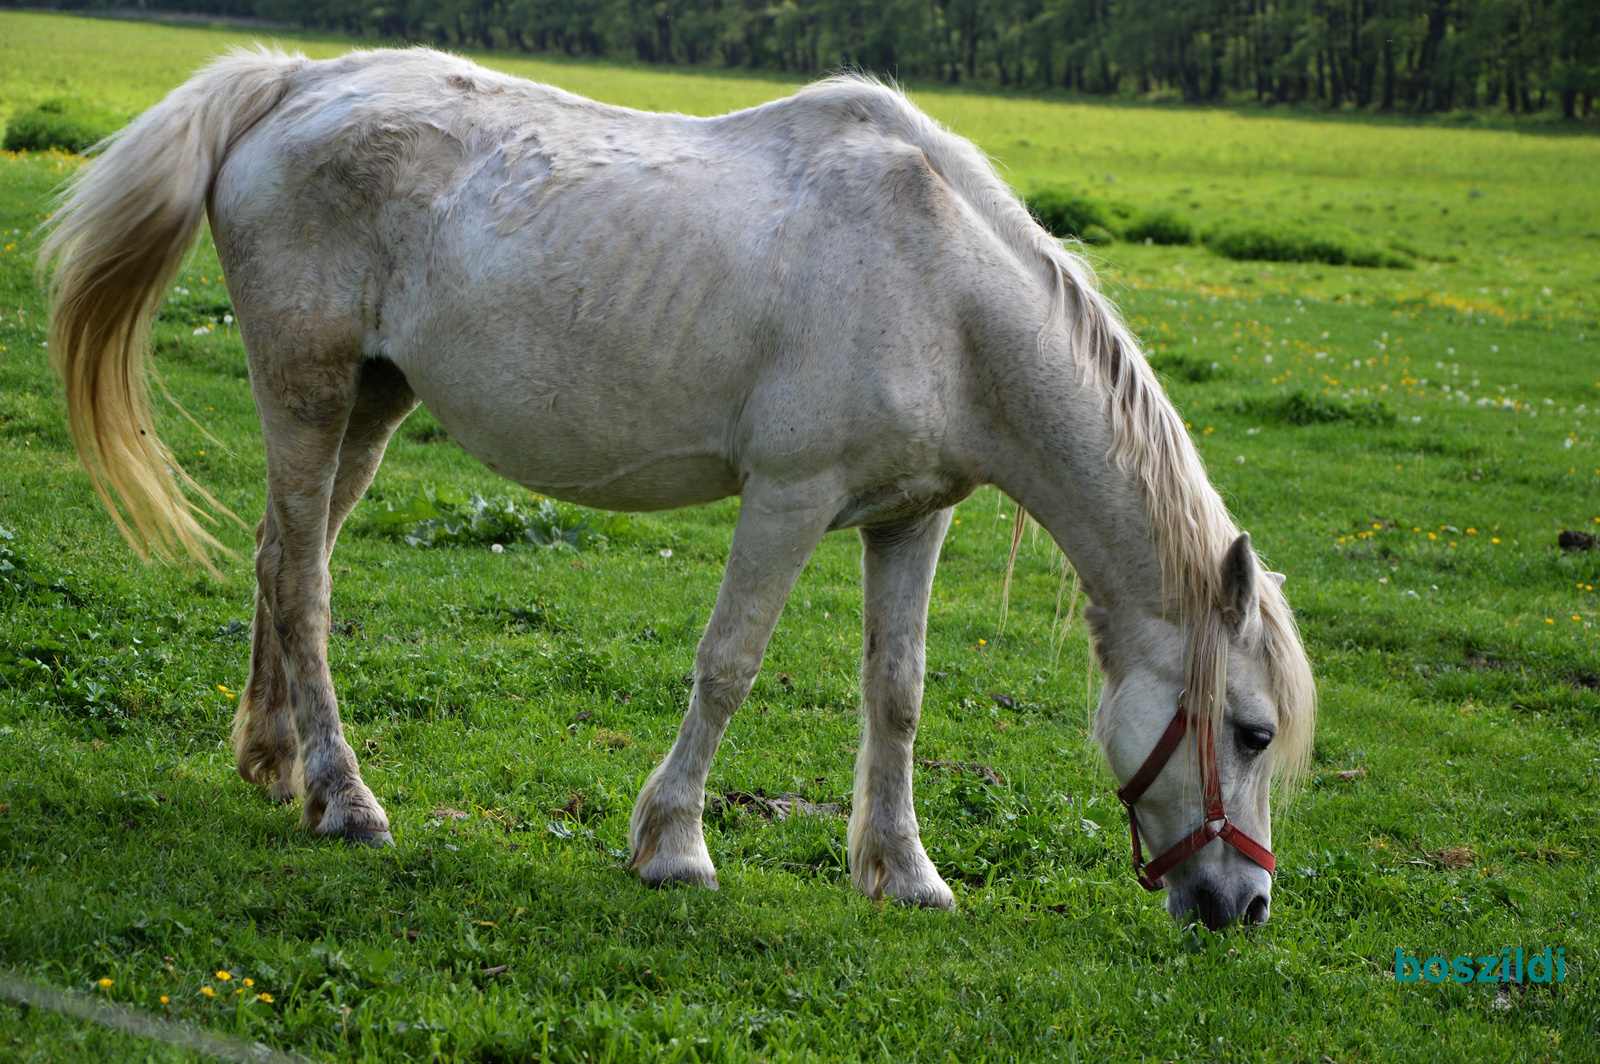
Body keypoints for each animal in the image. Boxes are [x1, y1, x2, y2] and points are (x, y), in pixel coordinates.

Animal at [40, 45, 1312, 928]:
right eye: (1249, 732)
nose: (1242, 905)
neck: (944, 293)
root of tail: (294, 83)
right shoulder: (789, 496)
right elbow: (730, 663)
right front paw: (674, 844)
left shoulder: (910, 519)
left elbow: (896, 692)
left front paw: (903, 871)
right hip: (307, 394)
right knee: (304, 583)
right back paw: (347, 801)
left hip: (370, 402)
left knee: (279, 555)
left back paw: (273, 763)